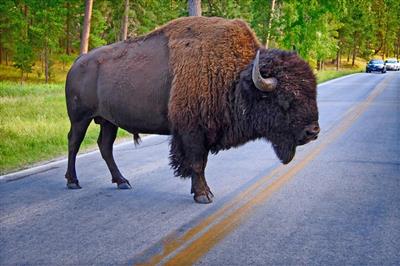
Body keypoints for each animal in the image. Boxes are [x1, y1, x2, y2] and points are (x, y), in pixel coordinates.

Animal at [66, 16, 322, 204]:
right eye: (285, 98)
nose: (313, 132)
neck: (237, 79)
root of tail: (78, 61)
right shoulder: (192, 132)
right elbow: (197, 163)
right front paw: (204, 195)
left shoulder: (201, 132)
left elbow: (198, 163)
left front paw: (199, 191)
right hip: (80, 118)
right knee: (74, 143)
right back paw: (73, 182)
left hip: (109, 121)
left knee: (105, 146)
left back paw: (122, 181)